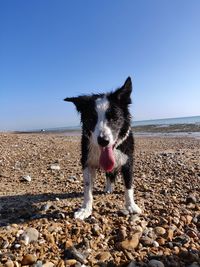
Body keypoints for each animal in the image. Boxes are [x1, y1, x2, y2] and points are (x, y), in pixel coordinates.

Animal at [64, 77, 141, 220]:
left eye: (114, 118)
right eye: (91, 118)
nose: (103, 141)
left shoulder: (128, 161)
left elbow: (128, 185)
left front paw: (131, 206)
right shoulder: (87, 161)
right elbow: (87, 188)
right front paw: (85, 209)